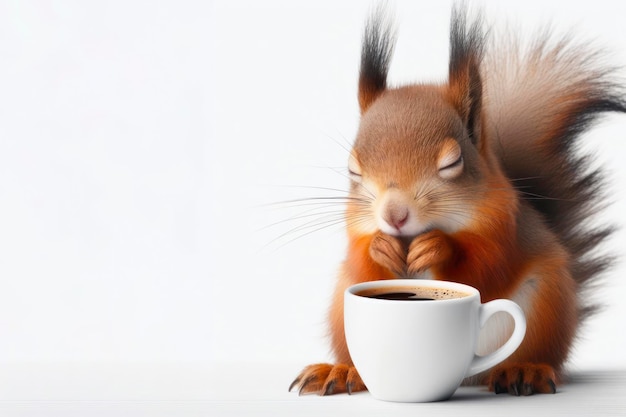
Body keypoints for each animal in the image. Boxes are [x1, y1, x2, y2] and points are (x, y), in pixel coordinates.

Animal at [288, 3, 624, 394]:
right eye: (354, 170)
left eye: (452, 162)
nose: (394, 215)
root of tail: (468, 378)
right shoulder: (355, 232)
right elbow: (363, 265)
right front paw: (380, 247)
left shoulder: (504, 224)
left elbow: (487, 269)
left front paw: (438, 247)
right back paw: (342, 371)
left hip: (546, 303)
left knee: (538, 352)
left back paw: (524, 370)